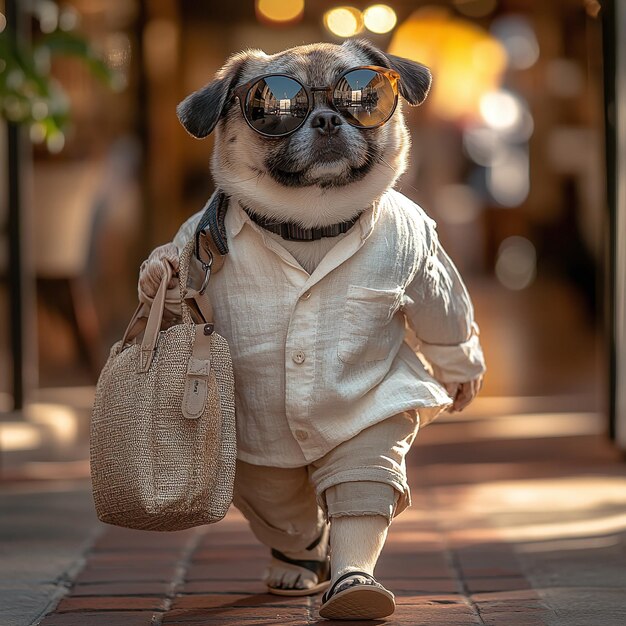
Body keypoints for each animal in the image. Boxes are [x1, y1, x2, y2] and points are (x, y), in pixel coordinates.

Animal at [139, 40, 486, 620]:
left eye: (360, 95)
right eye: (274, 107)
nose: (326, 118)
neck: (311, 227)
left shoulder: (421, 251)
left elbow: (443, 314)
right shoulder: (192, 241)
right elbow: (168, 289)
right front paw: (155, 277)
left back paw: (346, 581)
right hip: (262, 476)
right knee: (287, 513)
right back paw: (296, 565)